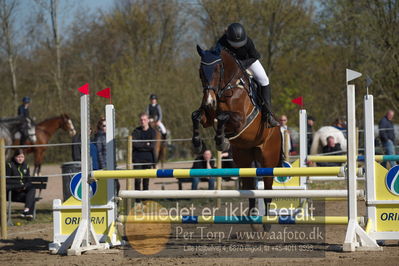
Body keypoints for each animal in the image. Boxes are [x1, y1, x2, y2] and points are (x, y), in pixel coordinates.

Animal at [192, 45, 282, 231]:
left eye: (218, 69)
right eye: (201, 71)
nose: (209, 102)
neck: (226, 88)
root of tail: (279, 129)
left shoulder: (240, 119)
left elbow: (223, 117)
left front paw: (221, 141)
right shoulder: (207, 117)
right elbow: (196, 116)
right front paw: (197, 143)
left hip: (268, 159)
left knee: (268, 188)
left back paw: (266, 224)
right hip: (244, 158)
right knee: (249, 187)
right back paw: (253, 220)